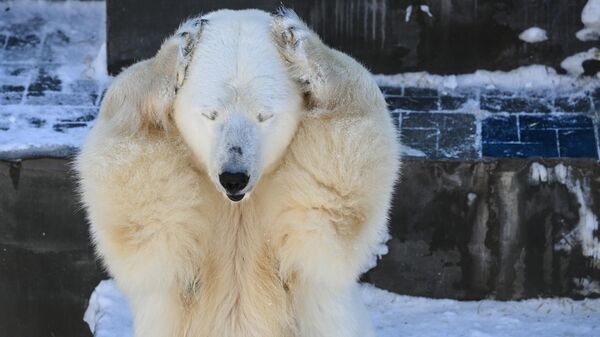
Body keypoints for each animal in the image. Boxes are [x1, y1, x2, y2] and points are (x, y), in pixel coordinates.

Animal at [77, 7, 400, 336]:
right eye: (210, 114)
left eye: (264, 115)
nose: (234, 177)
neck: (238, 206)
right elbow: (143, 221)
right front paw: (179, 47)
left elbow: (330, 213)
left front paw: (297, 39)